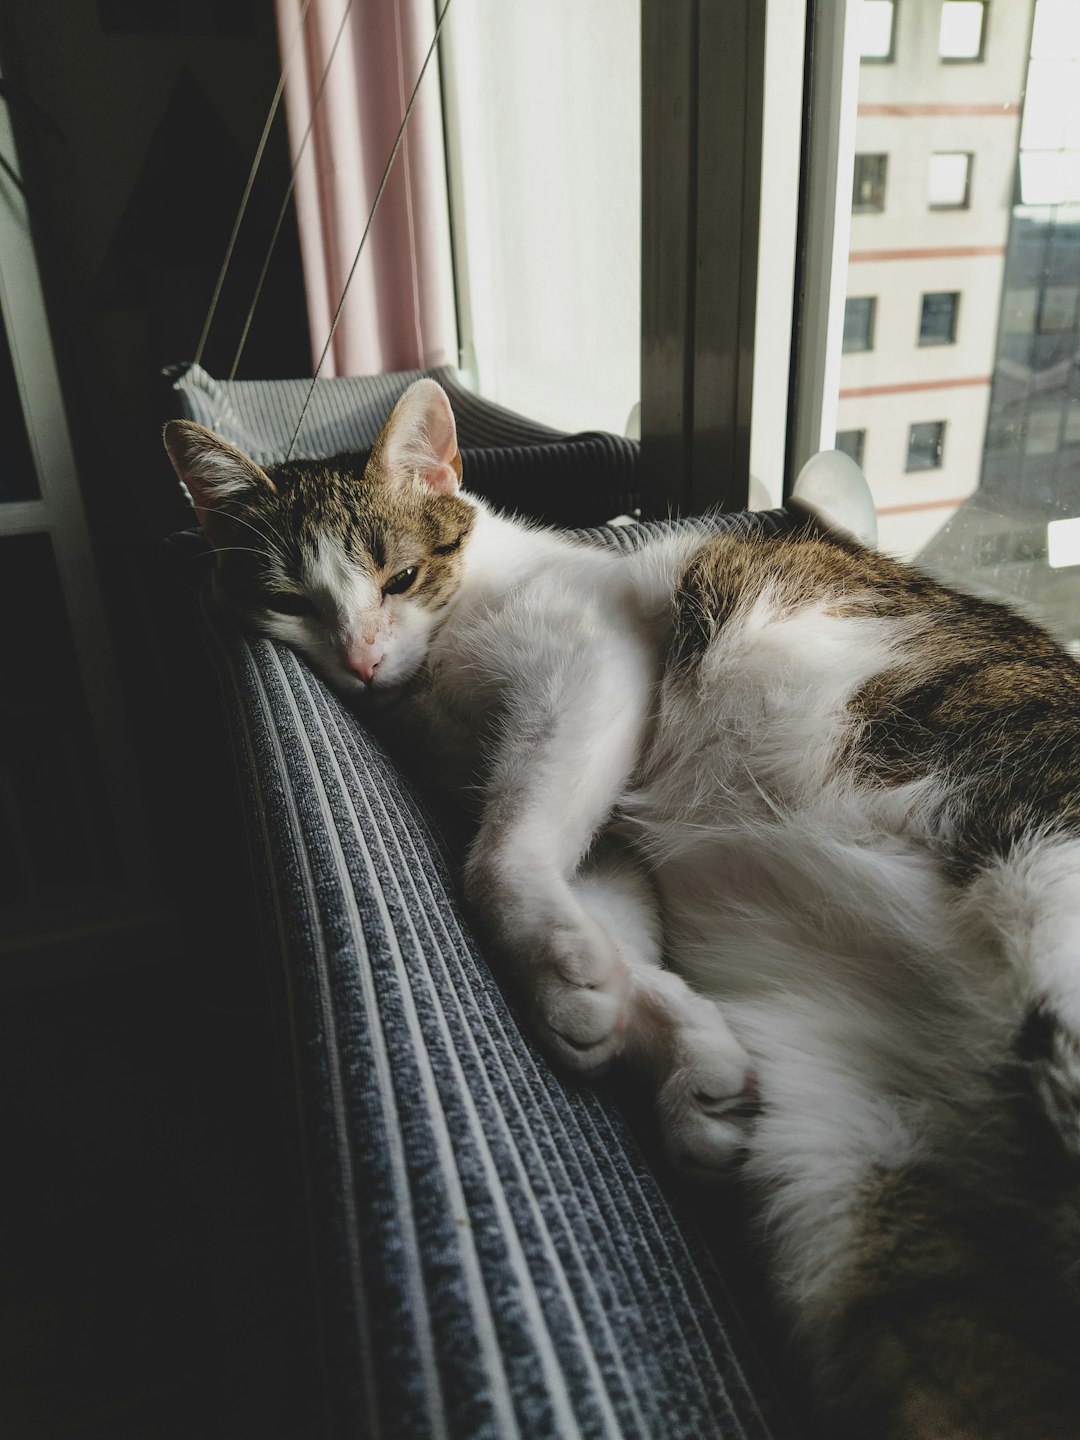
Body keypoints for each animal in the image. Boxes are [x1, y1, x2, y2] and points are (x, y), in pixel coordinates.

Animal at [164, 377, 1080, 1434]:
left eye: (398, 578)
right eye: (288, 601)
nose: (358, 661)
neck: (440, 682)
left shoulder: (589, 669)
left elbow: (496, 858)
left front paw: (575, 986)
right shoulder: (606, 835)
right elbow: (609, 918)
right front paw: (680, 1049)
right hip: (853, 1200)